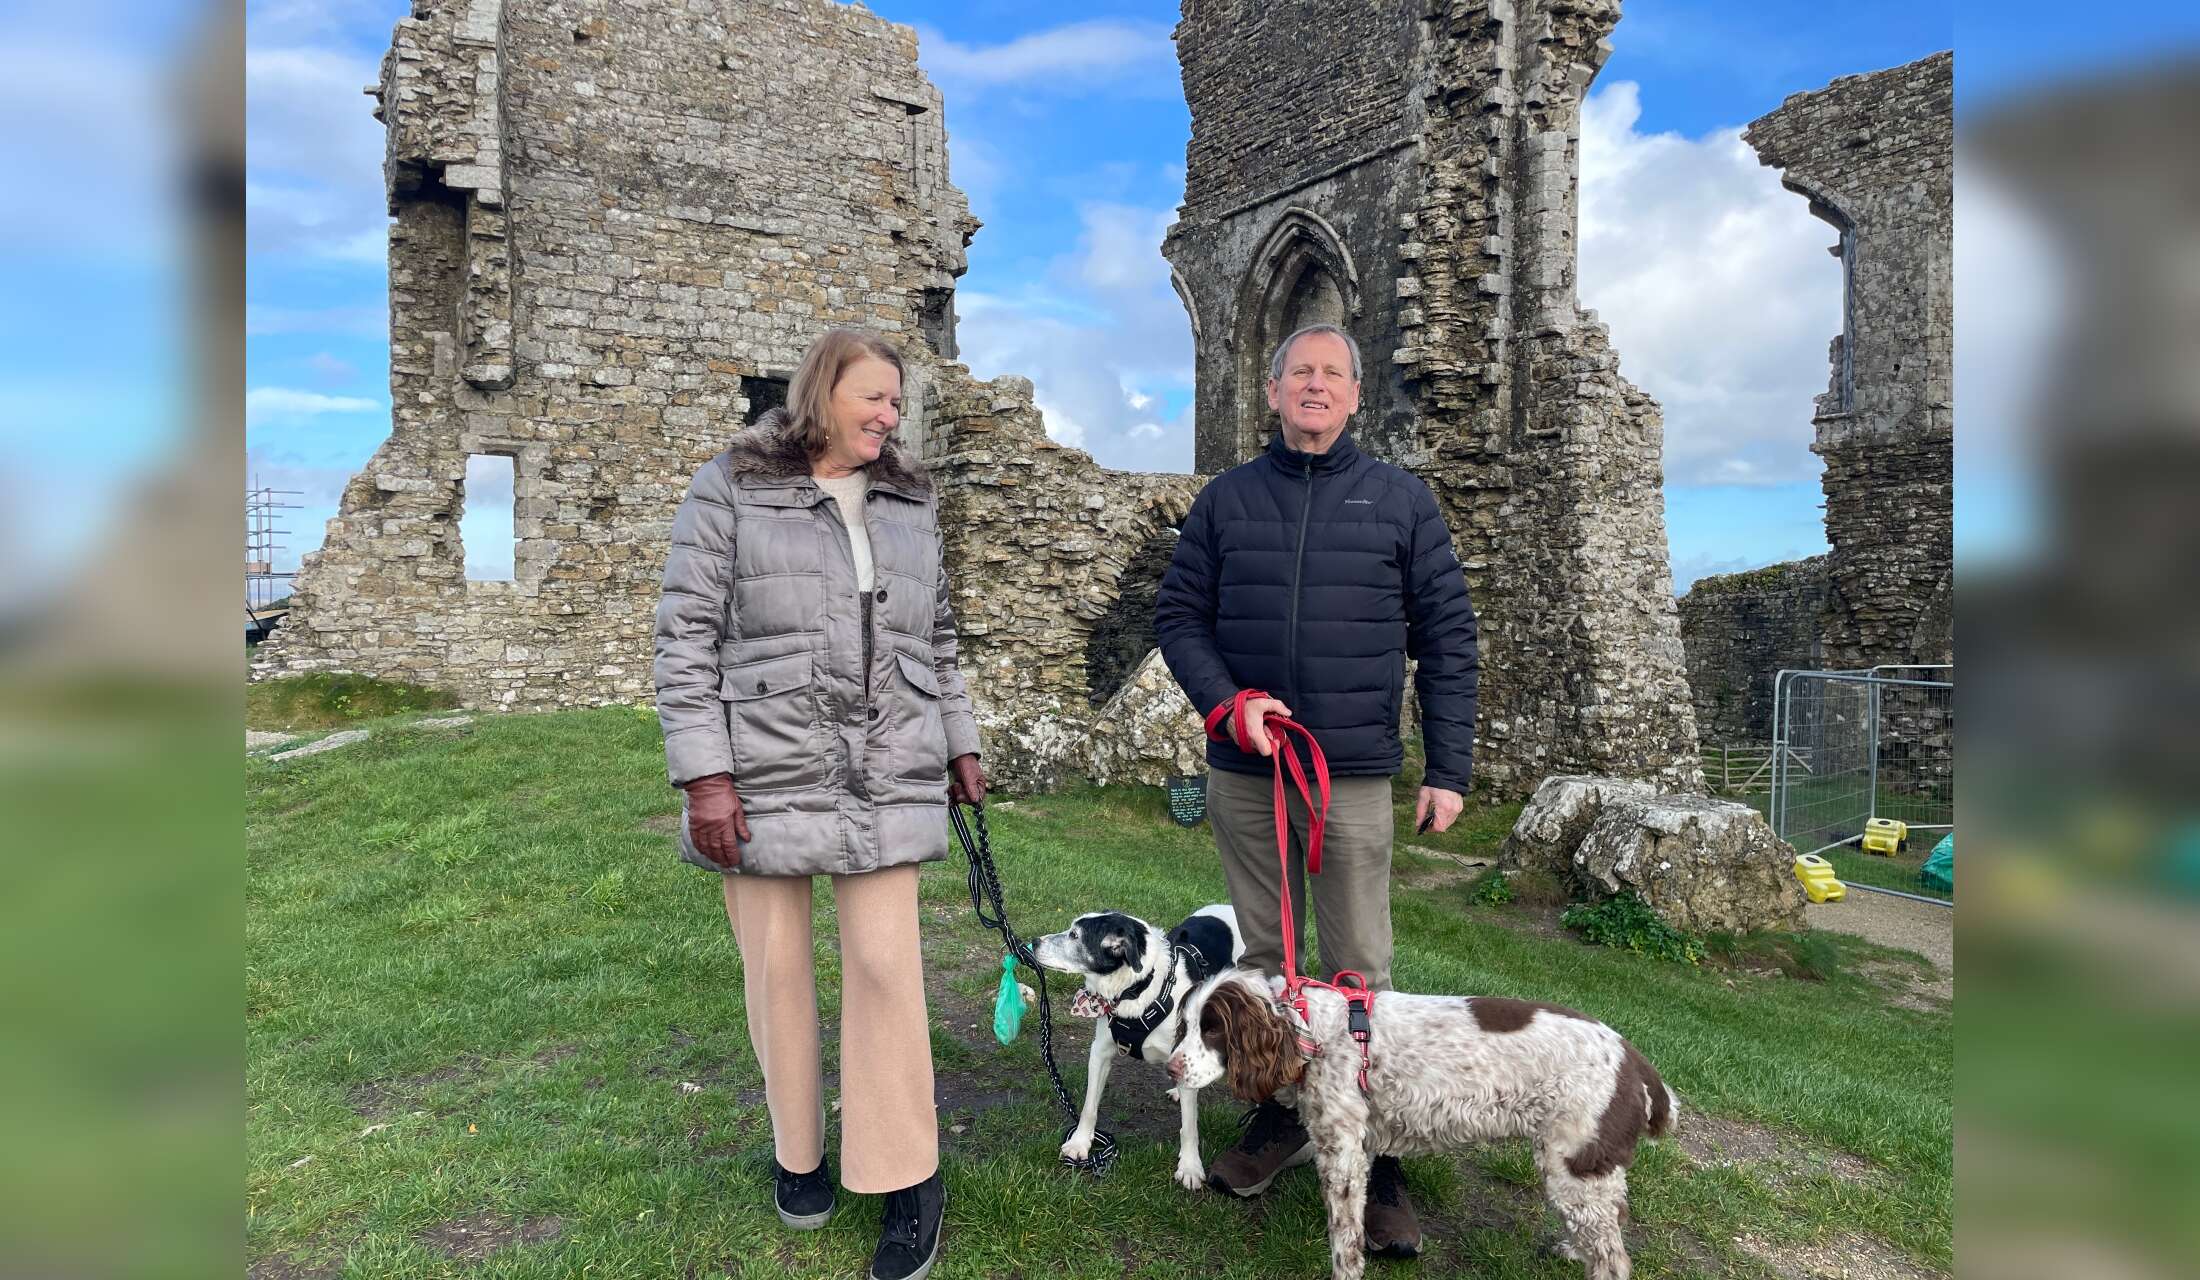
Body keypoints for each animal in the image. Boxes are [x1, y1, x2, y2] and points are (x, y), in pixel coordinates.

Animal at [1031, 905, 1243, 1189]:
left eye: (1075, 935)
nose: (1034, 942)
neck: (1139, 989)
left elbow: (1189, 1127)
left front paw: (1190, 1166)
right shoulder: (1100, 1052)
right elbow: (1089, 1107)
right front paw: (1080, 1143)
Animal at [1170, 970, 1679, 1280]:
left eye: (1213, 1029)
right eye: (1186, 1025)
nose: (1172, 1068)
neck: (1310, 1030)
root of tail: (1636, 1064)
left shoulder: (1343, 1150)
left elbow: (1344, 1237)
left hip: (1575, 1161)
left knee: (1613, 1256)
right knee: (1611, 1218)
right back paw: (1574, 1249)